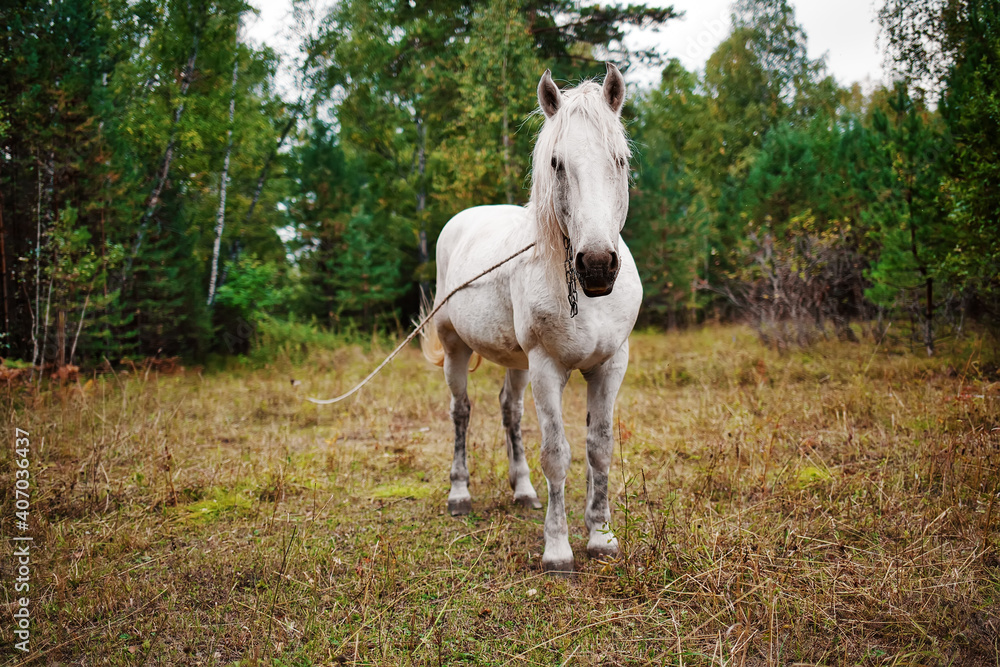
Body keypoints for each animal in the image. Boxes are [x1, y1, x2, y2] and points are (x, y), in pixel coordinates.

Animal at [420, 63, 642, 574]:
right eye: (557, 163)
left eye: (619, 160)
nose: (596, 265)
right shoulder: (547, 367)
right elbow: (557, 453)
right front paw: (557, 550)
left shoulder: (610, 366)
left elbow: (599, 448)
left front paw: (601, 536)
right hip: (456, 348)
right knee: (461, 412)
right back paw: (459, 495)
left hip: (517, 363)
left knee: (510, 410)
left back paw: (522, 490)